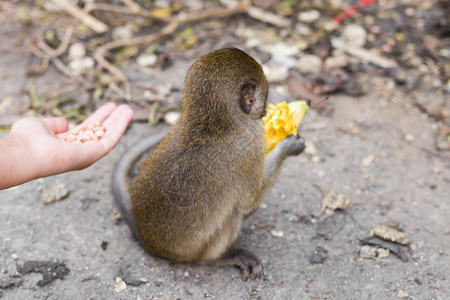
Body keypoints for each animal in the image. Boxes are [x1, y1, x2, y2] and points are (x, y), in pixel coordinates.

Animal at [111, 48, 306, 280]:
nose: (265, 110)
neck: (212, 124)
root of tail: (149, 243)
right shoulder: (251, 145)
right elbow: (250, 200)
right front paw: (289, 146)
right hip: (201, 251)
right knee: (233, 214)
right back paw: (224, 257)